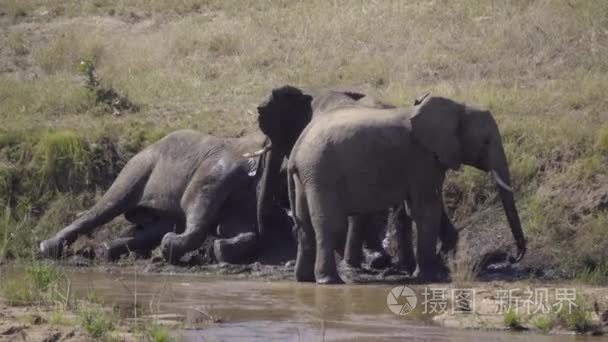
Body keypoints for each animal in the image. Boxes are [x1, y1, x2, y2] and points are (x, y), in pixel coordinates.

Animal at [40, 129, 282, 264]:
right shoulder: (216, 171)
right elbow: (193, 203)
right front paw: (170, 247)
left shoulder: (243, 196)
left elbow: (245, 231)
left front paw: (221, 249)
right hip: (138, 168)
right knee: (106, 207)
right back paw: (47, 248)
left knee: (158, 226)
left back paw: (107, 252)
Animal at [282, 93, 524, 284]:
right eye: (486, 142)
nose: (512, 257)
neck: (457, 107)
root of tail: (296, 149)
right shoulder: (422, 158)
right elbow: (426, 209)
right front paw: (431, 276)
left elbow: (418, 208)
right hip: (321, 172)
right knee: (329, 223)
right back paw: (330, 281)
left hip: (306, 177)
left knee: (304, 225)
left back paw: (304, 279)